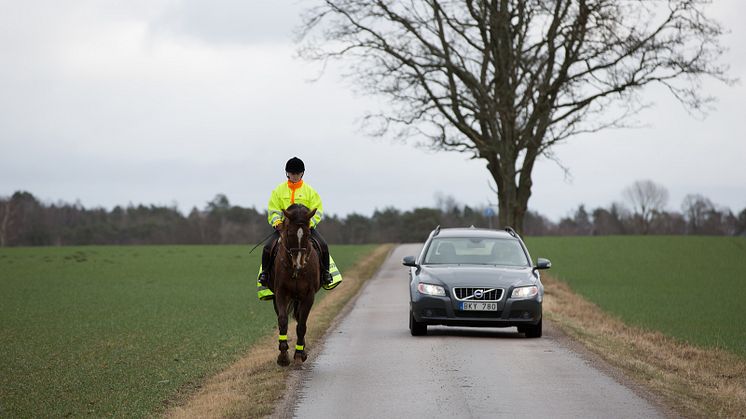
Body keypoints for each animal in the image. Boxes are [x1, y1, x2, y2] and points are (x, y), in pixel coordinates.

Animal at [272, 204, 322, 368]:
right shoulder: (280, 293)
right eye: (289, 233)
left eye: (307, 234)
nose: (298, 263)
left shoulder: (309, 295)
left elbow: (301, 325)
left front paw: (299, 354)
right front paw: (283, 355)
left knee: (300, 319)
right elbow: (282, 320)